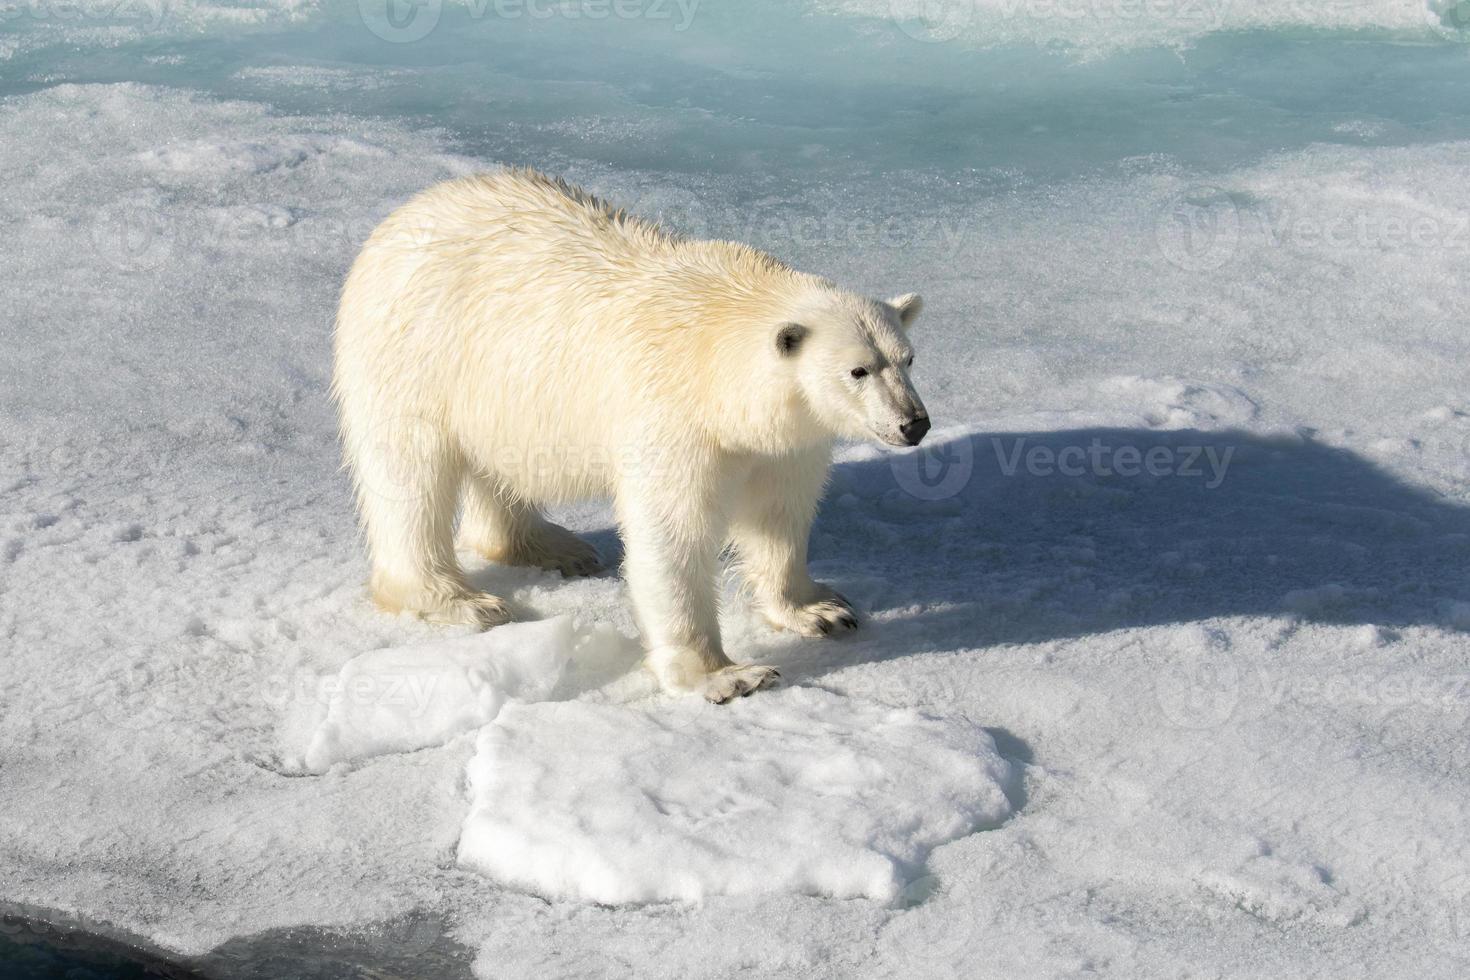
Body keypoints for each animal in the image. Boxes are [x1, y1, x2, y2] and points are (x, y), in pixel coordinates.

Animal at [338, 170, 923, 705]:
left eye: (908, 358)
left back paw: (558, 548)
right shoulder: (672, 419)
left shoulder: (784, 443)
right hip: (413, 354)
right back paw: (460, 600)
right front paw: (728, 676)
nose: (914, 423)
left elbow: (778, 514)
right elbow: (673, 537)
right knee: (410, 477)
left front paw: (822, 610)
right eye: (858, 371)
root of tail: (403, 215)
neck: (715, 361)